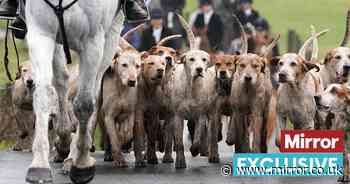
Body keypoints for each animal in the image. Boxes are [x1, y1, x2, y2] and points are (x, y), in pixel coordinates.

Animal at [25, 0, 123, 183]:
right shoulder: (40, 32)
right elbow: (43, 94)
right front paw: (39, 165)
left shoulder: (92, 42)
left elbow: (84, 103)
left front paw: (82, 163)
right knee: (61, 80)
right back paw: (64, 141)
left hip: (110, 39)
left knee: (93, 91)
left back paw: (73, 156)